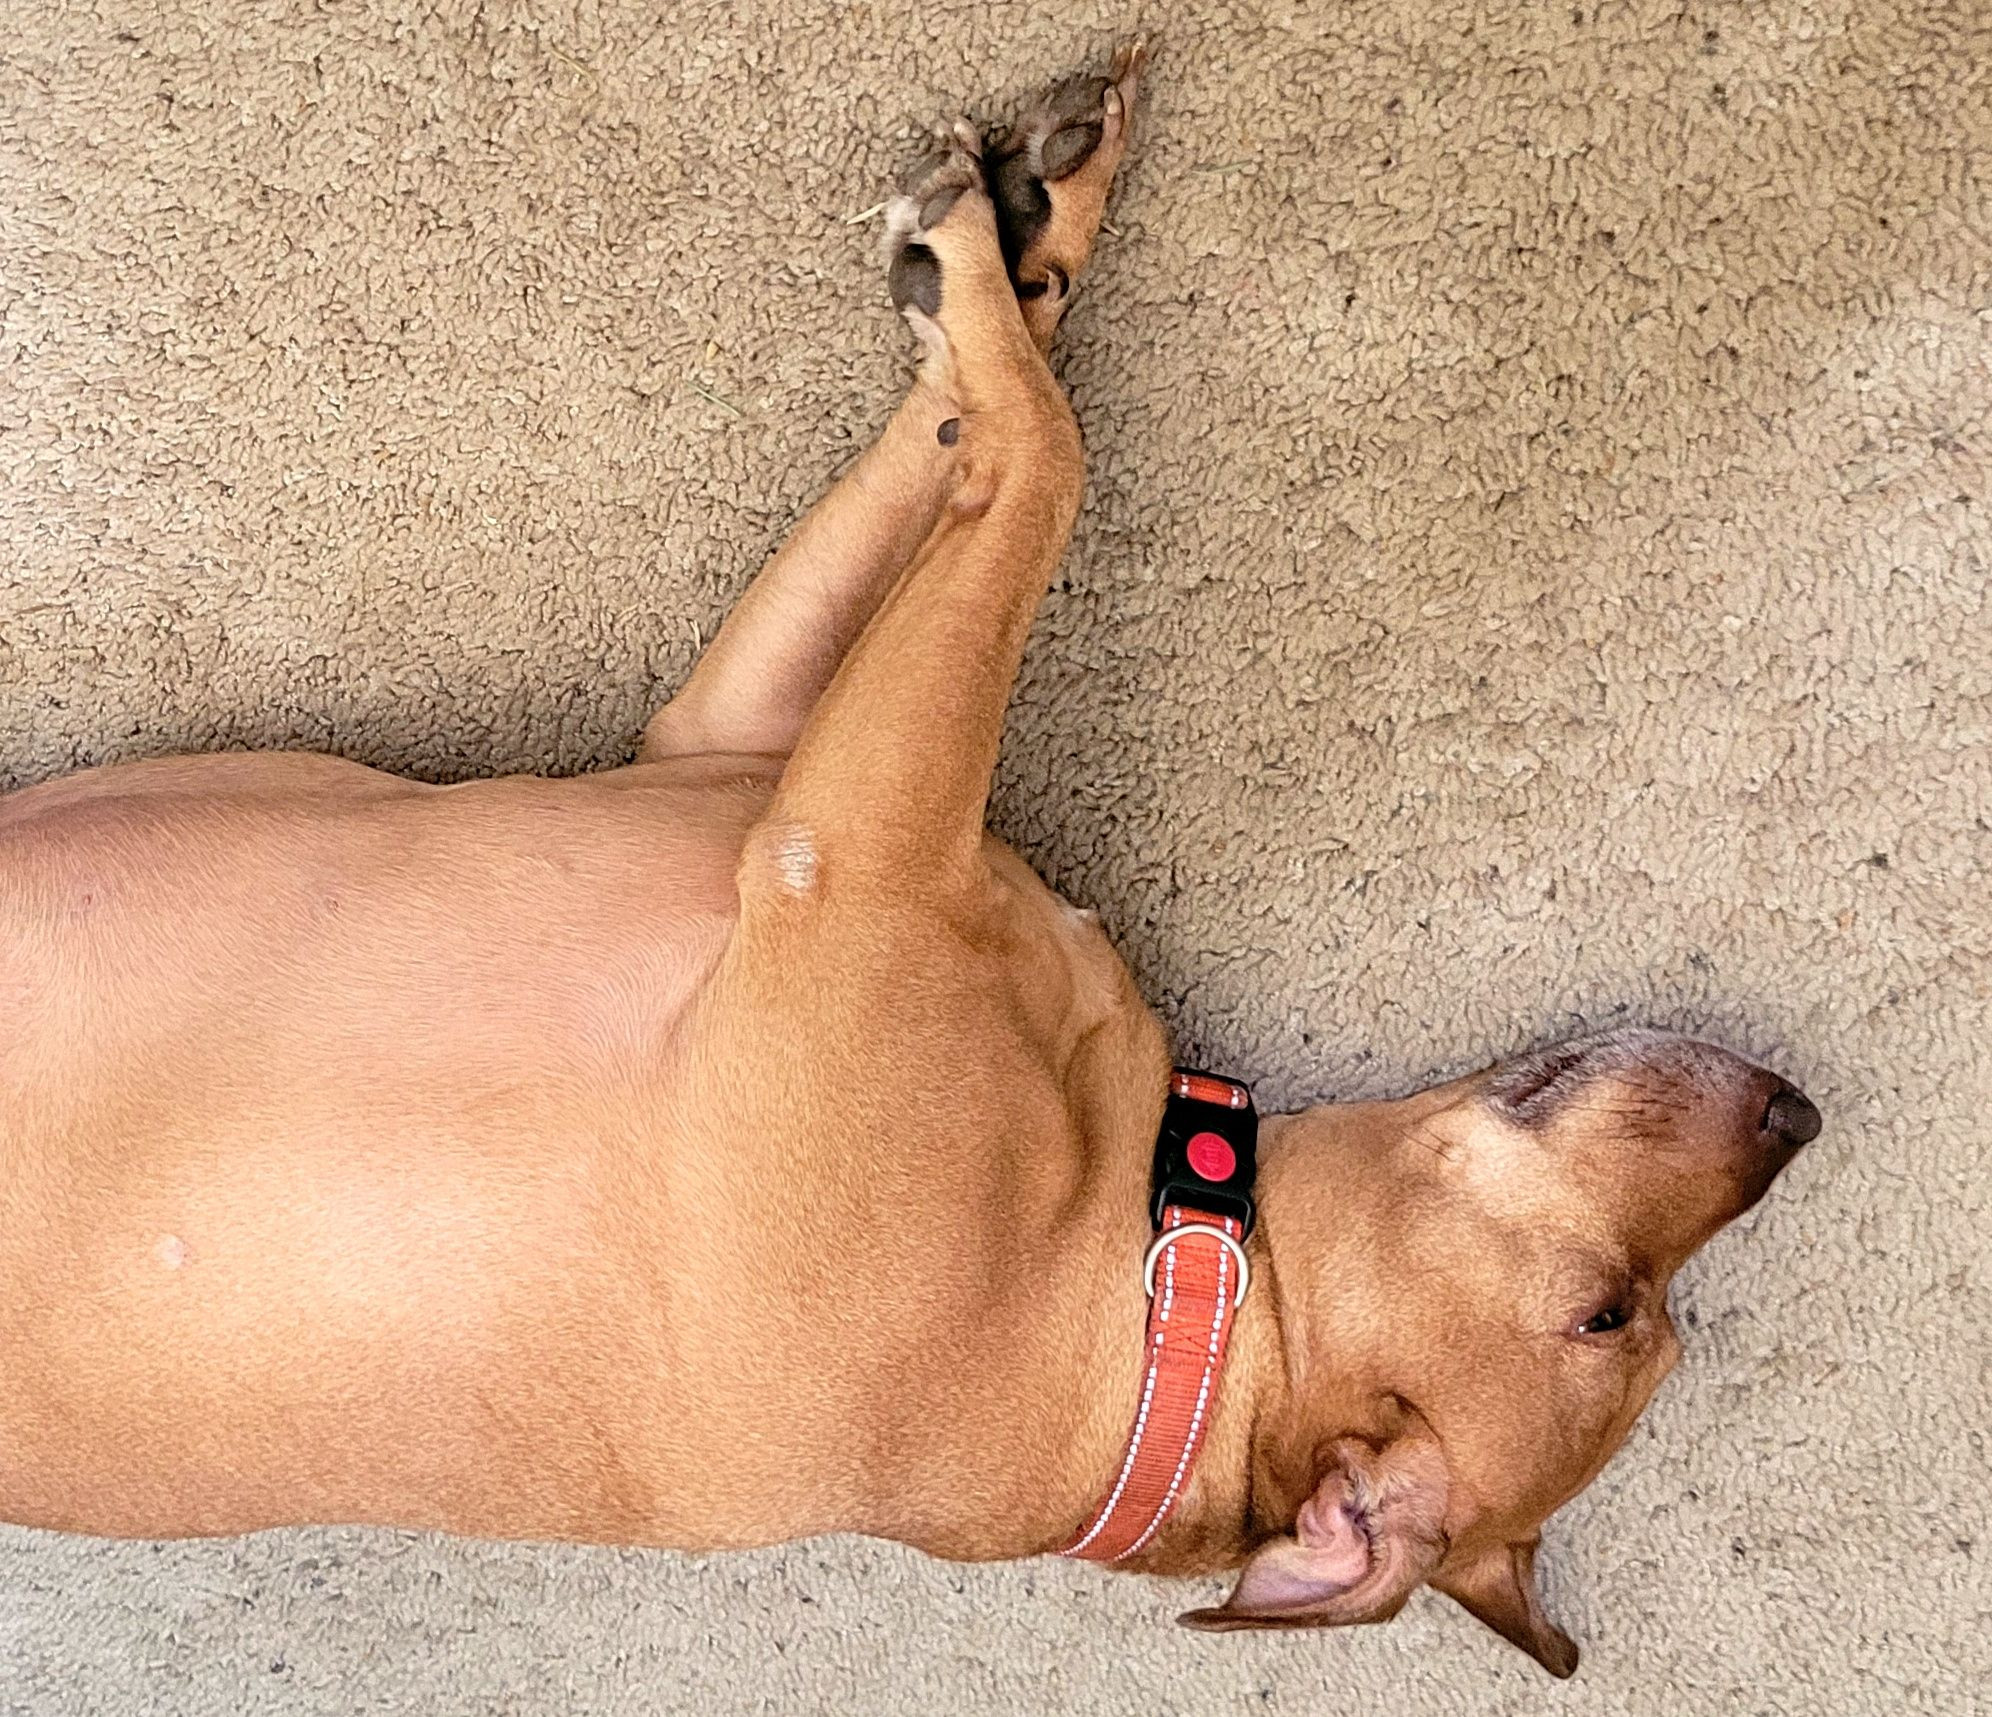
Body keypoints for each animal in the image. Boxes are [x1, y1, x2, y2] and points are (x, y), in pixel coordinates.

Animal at [0, 40, 1816, 1681]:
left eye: (1611, 1312)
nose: (1796, 1115)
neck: (1154, 1288)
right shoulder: (742, 740)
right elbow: (978, 426)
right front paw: (1031, 225)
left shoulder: (838, 838)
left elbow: (1049, 451)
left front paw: (982, 258)